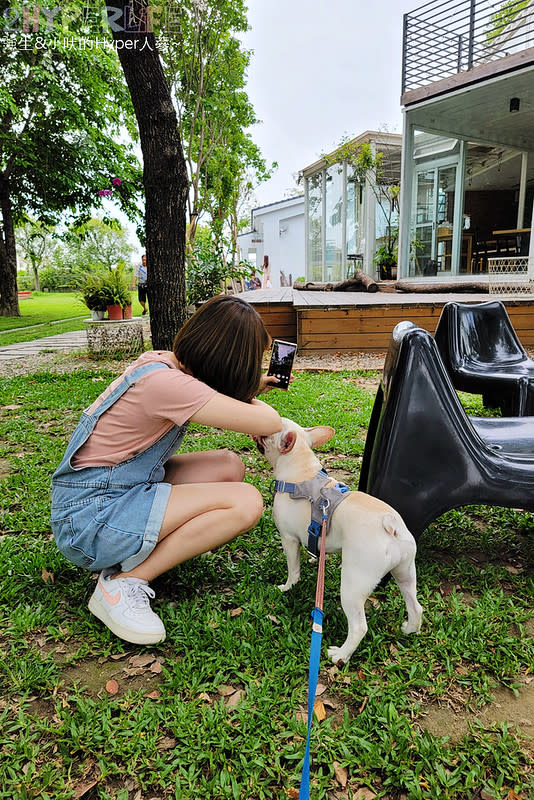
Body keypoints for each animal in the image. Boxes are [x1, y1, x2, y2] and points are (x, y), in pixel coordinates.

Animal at [255, 418, 422, 664]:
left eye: (267, 434)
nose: (257, 432)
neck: (300, 467)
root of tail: (390, 524)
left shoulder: (289, 539)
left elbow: (293, 569)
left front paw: (287, 587)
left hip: (353, 585)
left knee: (359, 627)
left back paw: (341, 655)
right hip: (405, 572)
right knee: (415, 606)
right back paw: (410, 630)